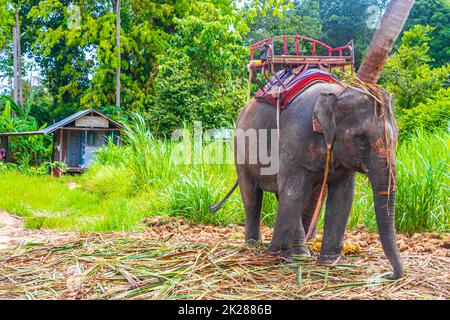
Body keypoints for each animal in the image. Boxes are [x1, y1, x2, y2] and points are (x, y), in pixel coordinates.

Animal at [213, 80, 402, 280]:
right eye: (362, 138)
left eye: (396, 137)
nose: (389, 275)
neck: (337, 94)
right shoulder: (296, 138)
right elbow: (293, 193)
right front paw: (277, 255)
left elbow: (342, 197)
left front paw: (330, 261)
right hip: (240, 149)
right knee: (253, 196)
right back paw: (256, 245)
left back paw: (298, 253)